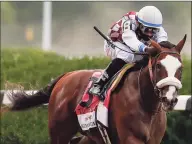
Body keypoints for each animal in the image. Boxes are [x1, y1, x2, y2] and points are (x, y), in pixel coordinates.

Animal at [1, 34, 187, 143]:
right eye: (158, 66)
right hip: (59, 132)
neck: (146, 104)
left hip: (92, 136)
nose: (170, 99)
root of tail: (65, 76)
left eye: (181, 67)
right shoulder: (131, 138)